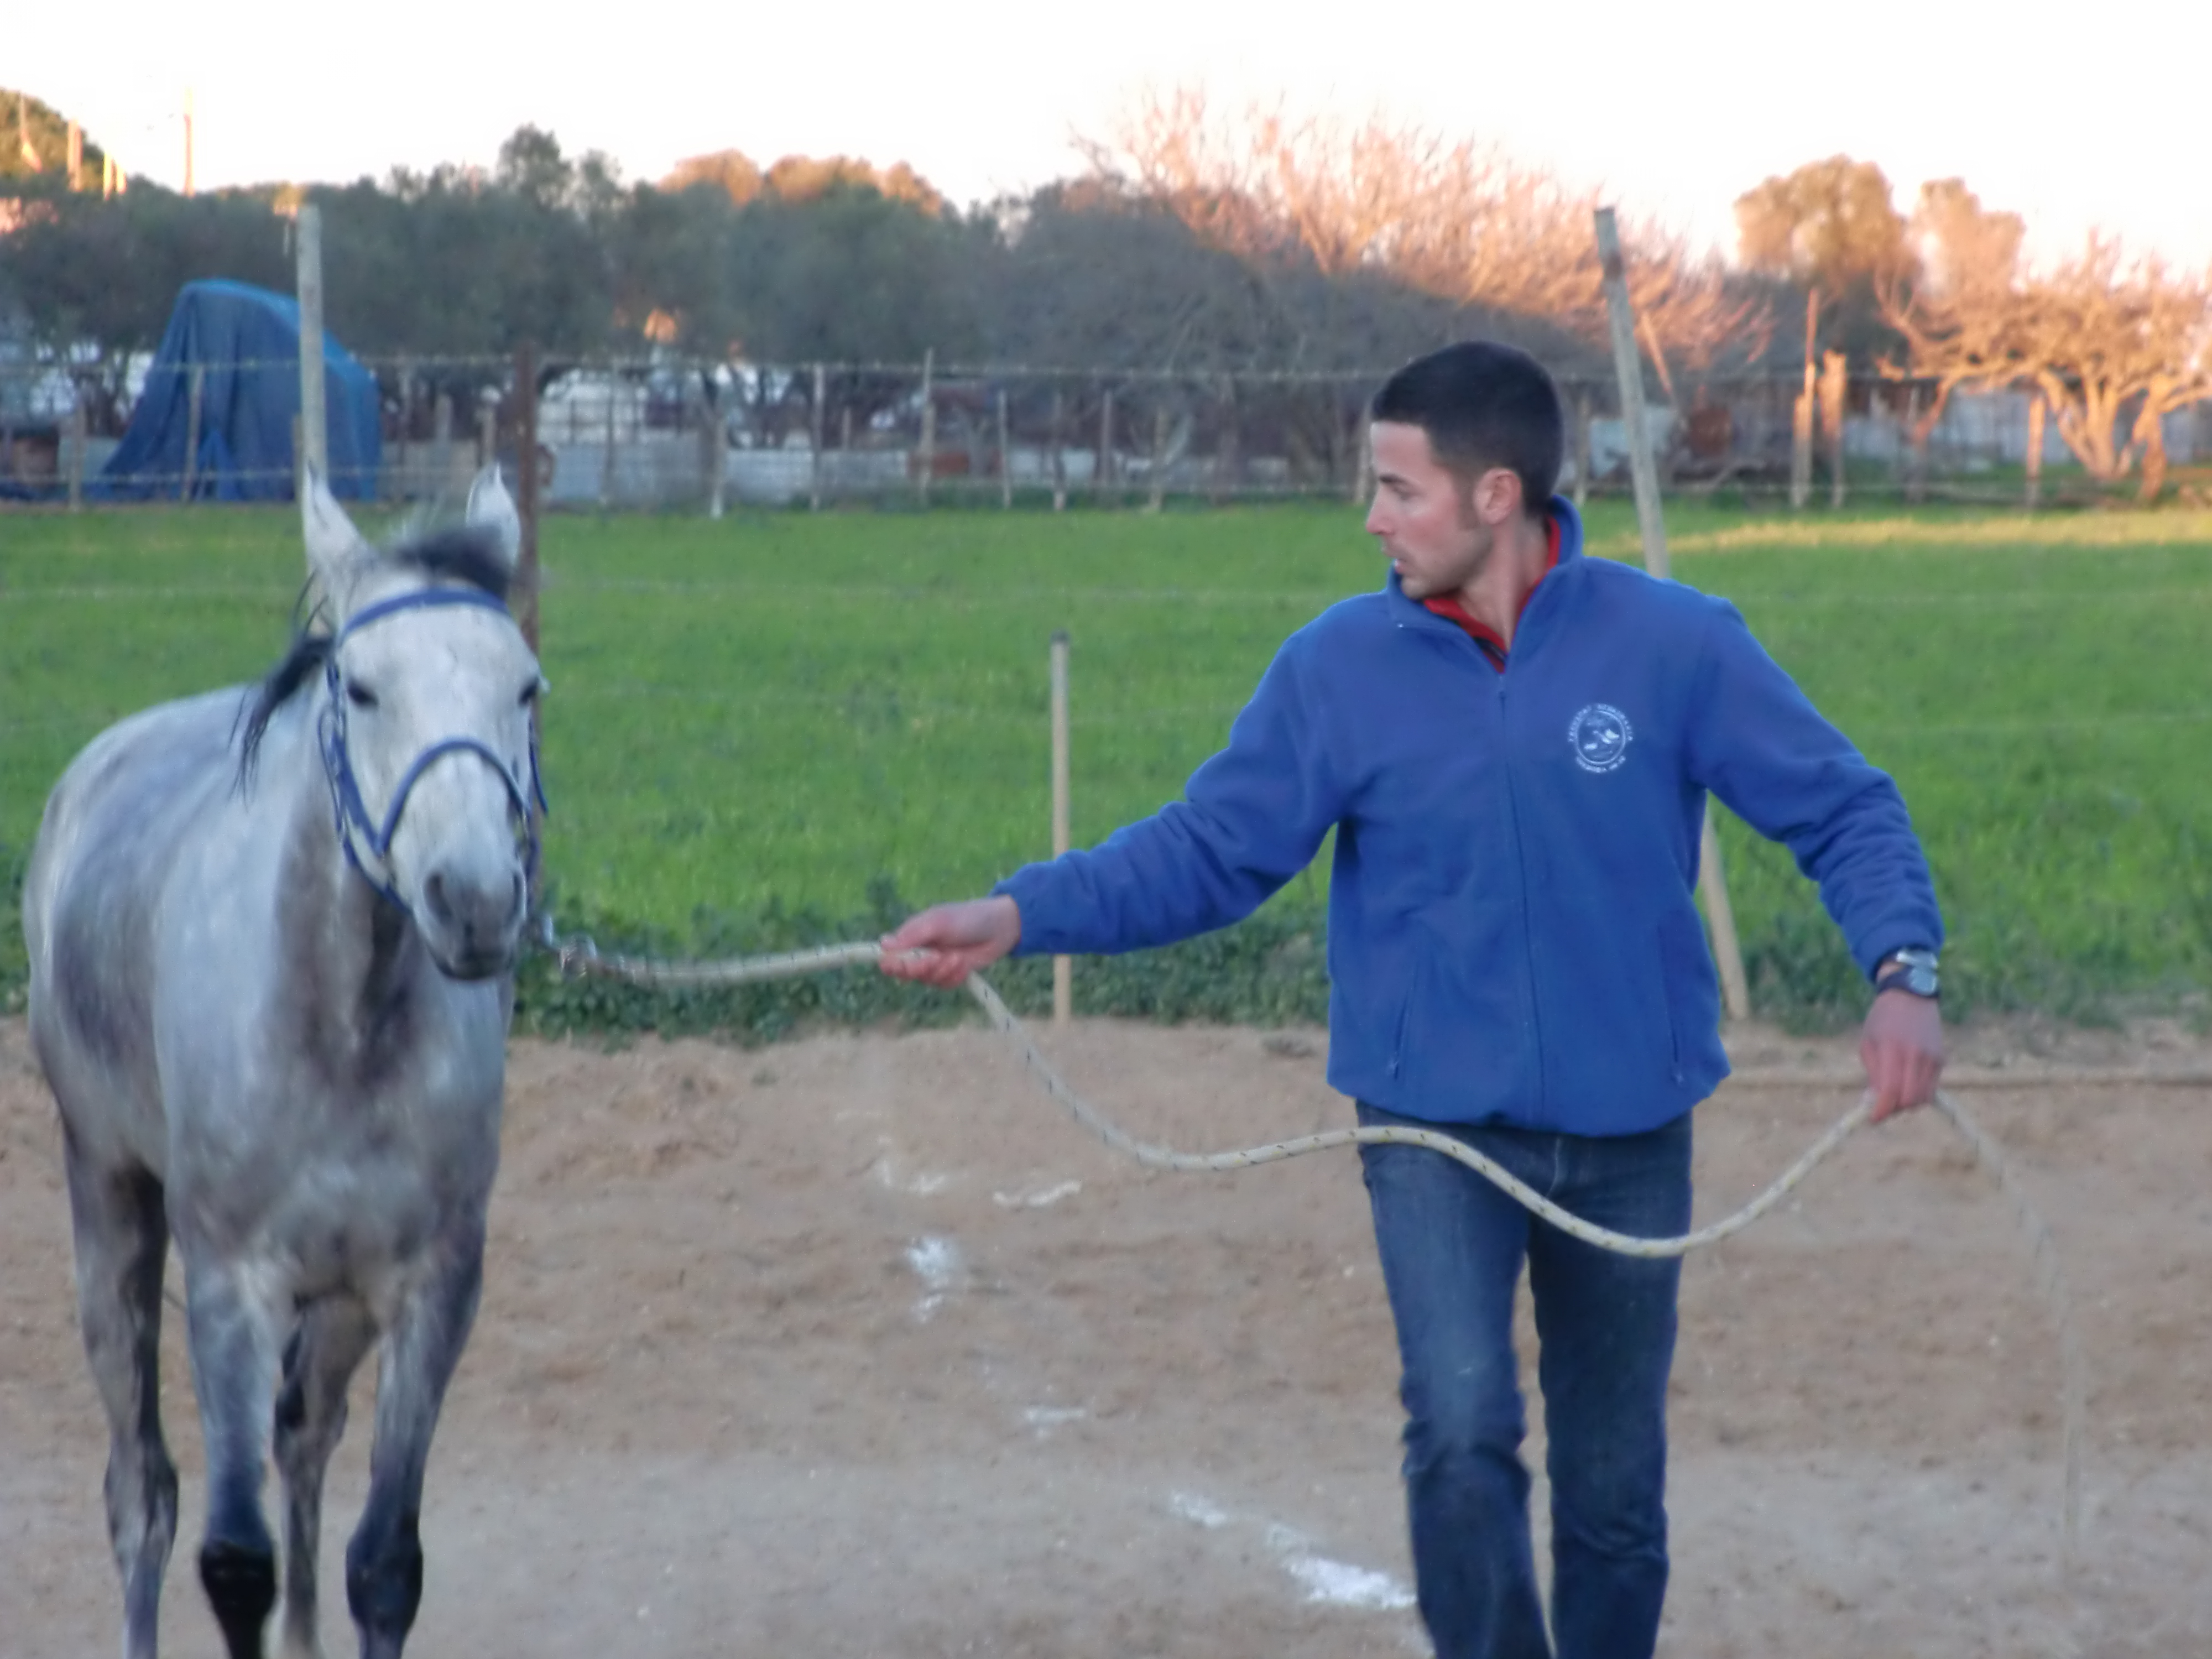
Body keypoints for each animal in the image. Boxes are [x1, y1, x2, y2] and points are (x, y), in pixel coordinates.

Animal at [26, 469, 549, 1659]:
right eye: (360, 688)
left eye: (526, 689)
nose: (474, 901)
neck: (340, 1026)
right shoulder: (233, 1290)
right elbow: (233, 1562)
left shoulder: (432, 1290)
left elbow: (384, 1565)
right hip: (111, 1208)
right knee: (143, 1495)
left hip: (343, 1305)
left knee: (305, 1439)